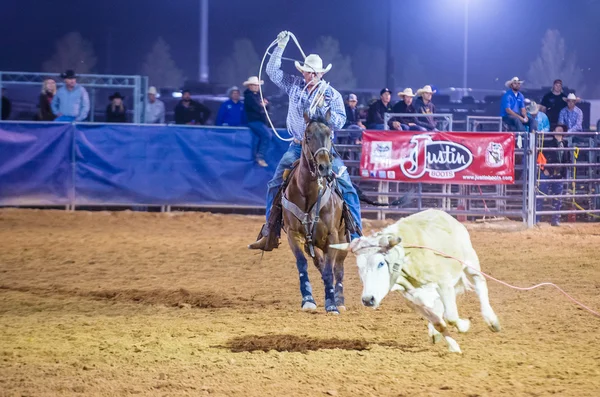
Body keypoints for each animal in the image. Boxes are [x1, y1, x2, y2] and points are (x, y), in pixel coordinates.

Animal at [284, 110, 350, 312]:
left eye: (330, 135)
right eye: (308, 136)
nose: (324, 167)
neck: (308, 193)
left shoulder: (332, 236)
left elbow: (330, 270)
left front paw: (331, 304)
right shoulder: (293, 234)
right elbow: (302, 264)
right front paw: (308, 299)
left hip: (344, 239)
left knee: (338, 268)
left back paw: (339, 299)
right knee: (318, 263)